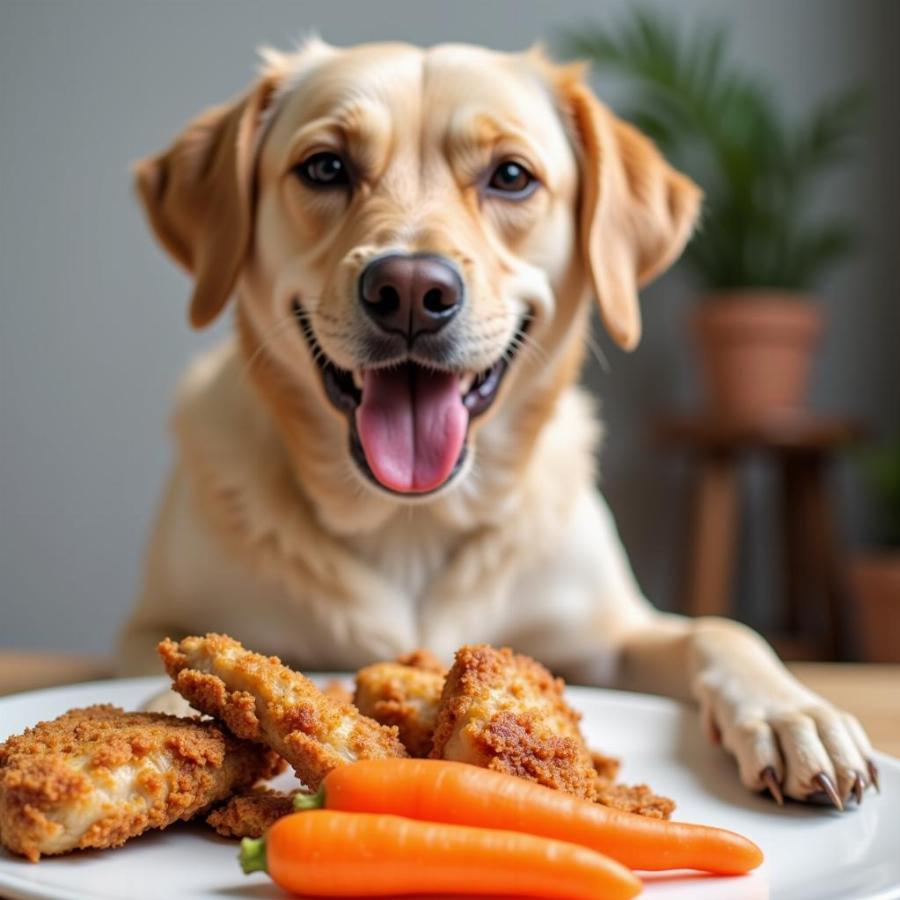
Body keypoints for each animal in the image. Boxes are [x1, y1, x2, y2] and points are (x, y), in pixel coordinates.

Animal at [118, 38, 872, 808]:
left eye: (511, 176)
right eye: (325, 167)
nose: (410, 291)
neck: (412, 521)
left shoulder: (608, 638)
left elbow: (720, 631)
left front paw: (791, 712)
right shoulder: (151, 623)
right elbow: (152, 665)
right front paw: (175, 706)